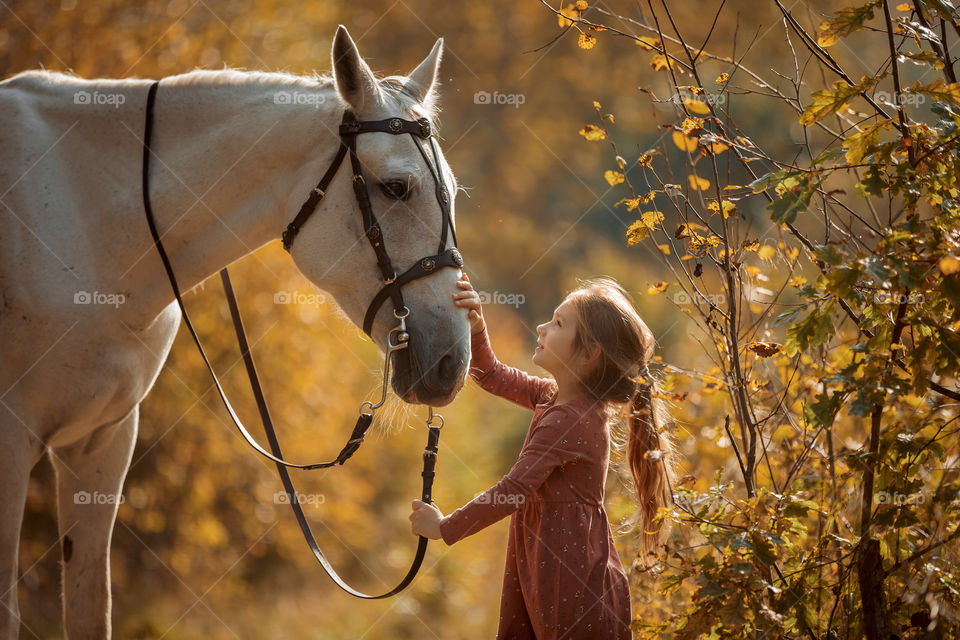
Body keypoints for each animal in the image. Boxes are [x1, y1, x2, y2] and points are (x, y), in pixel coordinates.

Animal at [0, 26, 468, 640]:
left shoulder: (102, 441)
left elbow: (89, 608)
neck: (89, 222)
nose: (452, 363)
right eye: (395, 188)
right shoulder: (9, 444)